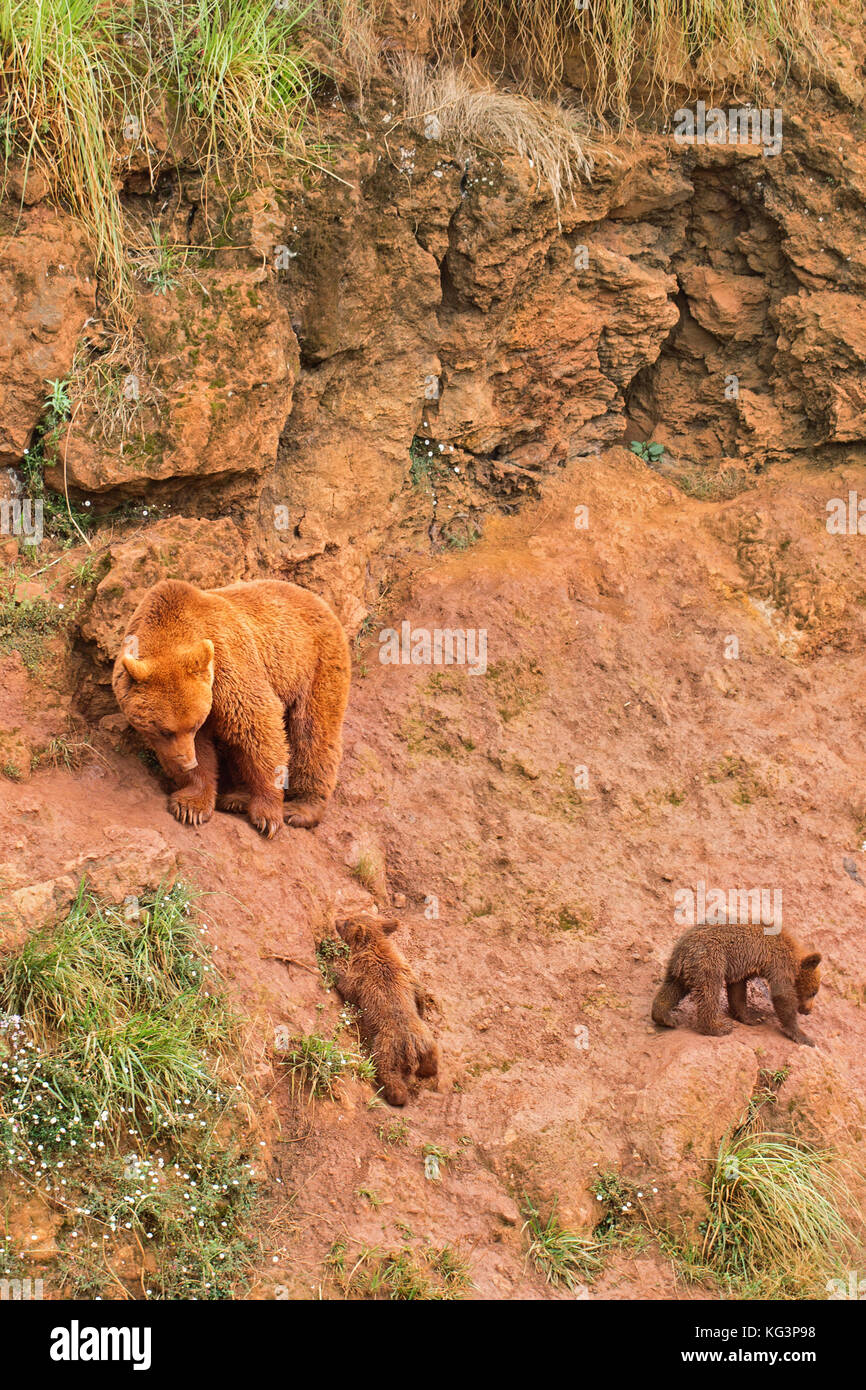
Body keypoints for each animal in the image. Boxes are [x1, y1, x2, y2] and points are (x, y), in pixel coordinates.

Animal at [112, 577, 350, 838]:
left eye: (192, 725)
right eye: (165, 731)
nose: (187, 761)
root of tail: (318, 600)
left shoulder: (228, 665)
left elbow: (258, 724)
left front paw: (267, 815)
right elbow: (205, 751)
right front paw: (191, 806)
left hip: (315, 665)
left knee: (313, 733)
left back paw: (301, 808)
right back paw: (237, 797)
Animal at [330, 914, 439, 1106]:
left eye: (347, 922)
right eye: (350, 916)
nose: (336, 919)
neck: (375, 947)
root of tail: (412, 1050)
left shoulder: (360, 974)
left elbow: (347, 987)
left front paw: (334, 971)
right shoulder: (406, 969)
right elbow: (419, 991)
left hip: (387, 1045)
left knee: (387, 1071)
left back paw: (395, 1096)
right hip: (425, 1039)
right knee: (432, 1059)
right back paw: (428, 1070)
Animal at [651, 923, 822, 1046]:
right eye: (814, 992)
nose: (808, 1011)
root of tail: (684, 949)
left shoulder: (742, 968)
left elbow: (737, 992)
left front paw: (754, 1017)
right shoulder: (778, 963)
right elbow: (783, 995)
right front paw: (803, 1036)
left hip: (678, 966)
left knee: (672, 987)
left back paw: (665, 1017)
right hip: (711, 960)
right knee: (709, 992)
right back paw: (718, 1027)